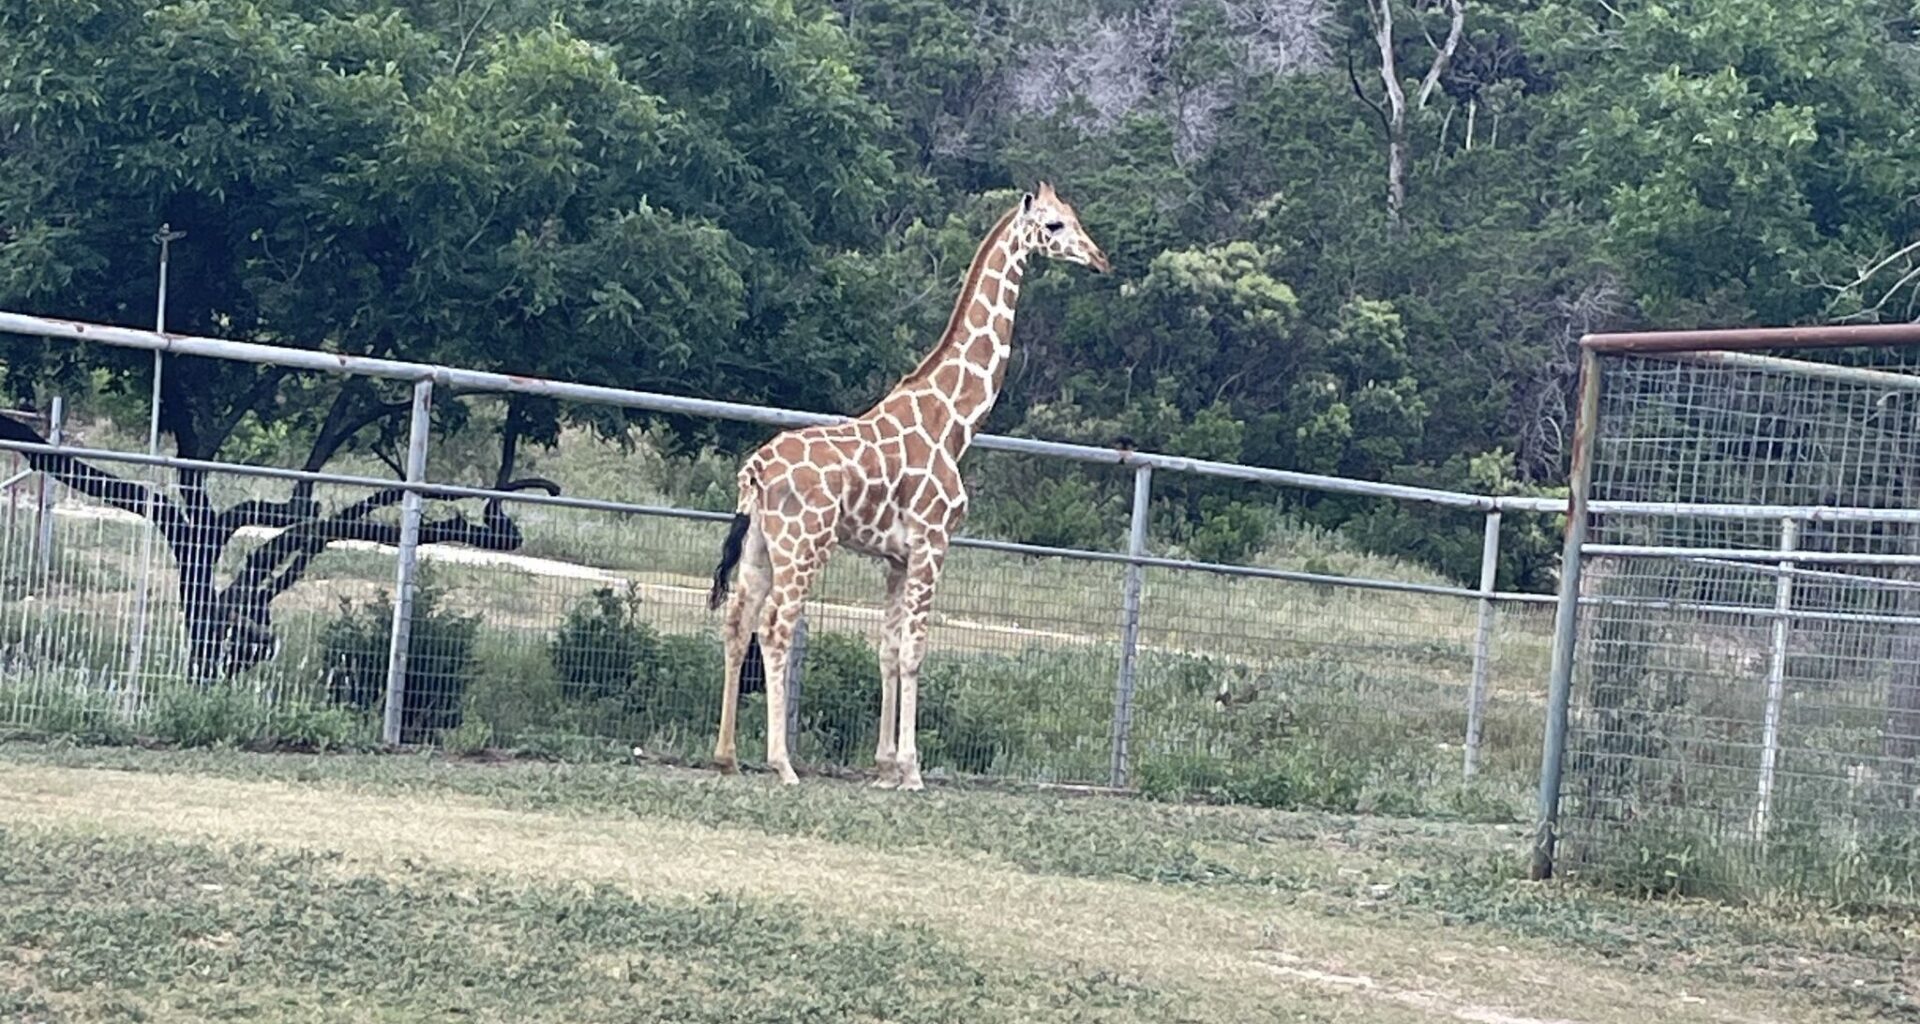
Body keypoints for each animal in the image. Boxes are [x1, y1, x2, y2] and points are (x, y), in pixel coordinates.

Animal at [706, 183, 1110, 790]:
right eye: (1055, 224)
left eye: (1075, 217)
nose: (1100, 258)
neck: (955, 421)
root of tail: (756, 470)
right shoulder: (933, 543)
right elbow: (917, 650)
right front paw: (913, 770)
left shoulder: (896, 557)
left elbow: (889, 649)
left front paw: (884, 767)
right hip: (803, 547)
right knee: (777, 628)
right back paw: (782, 763)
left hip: (761, 549)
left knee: (738, 622)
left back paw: (726, 755)